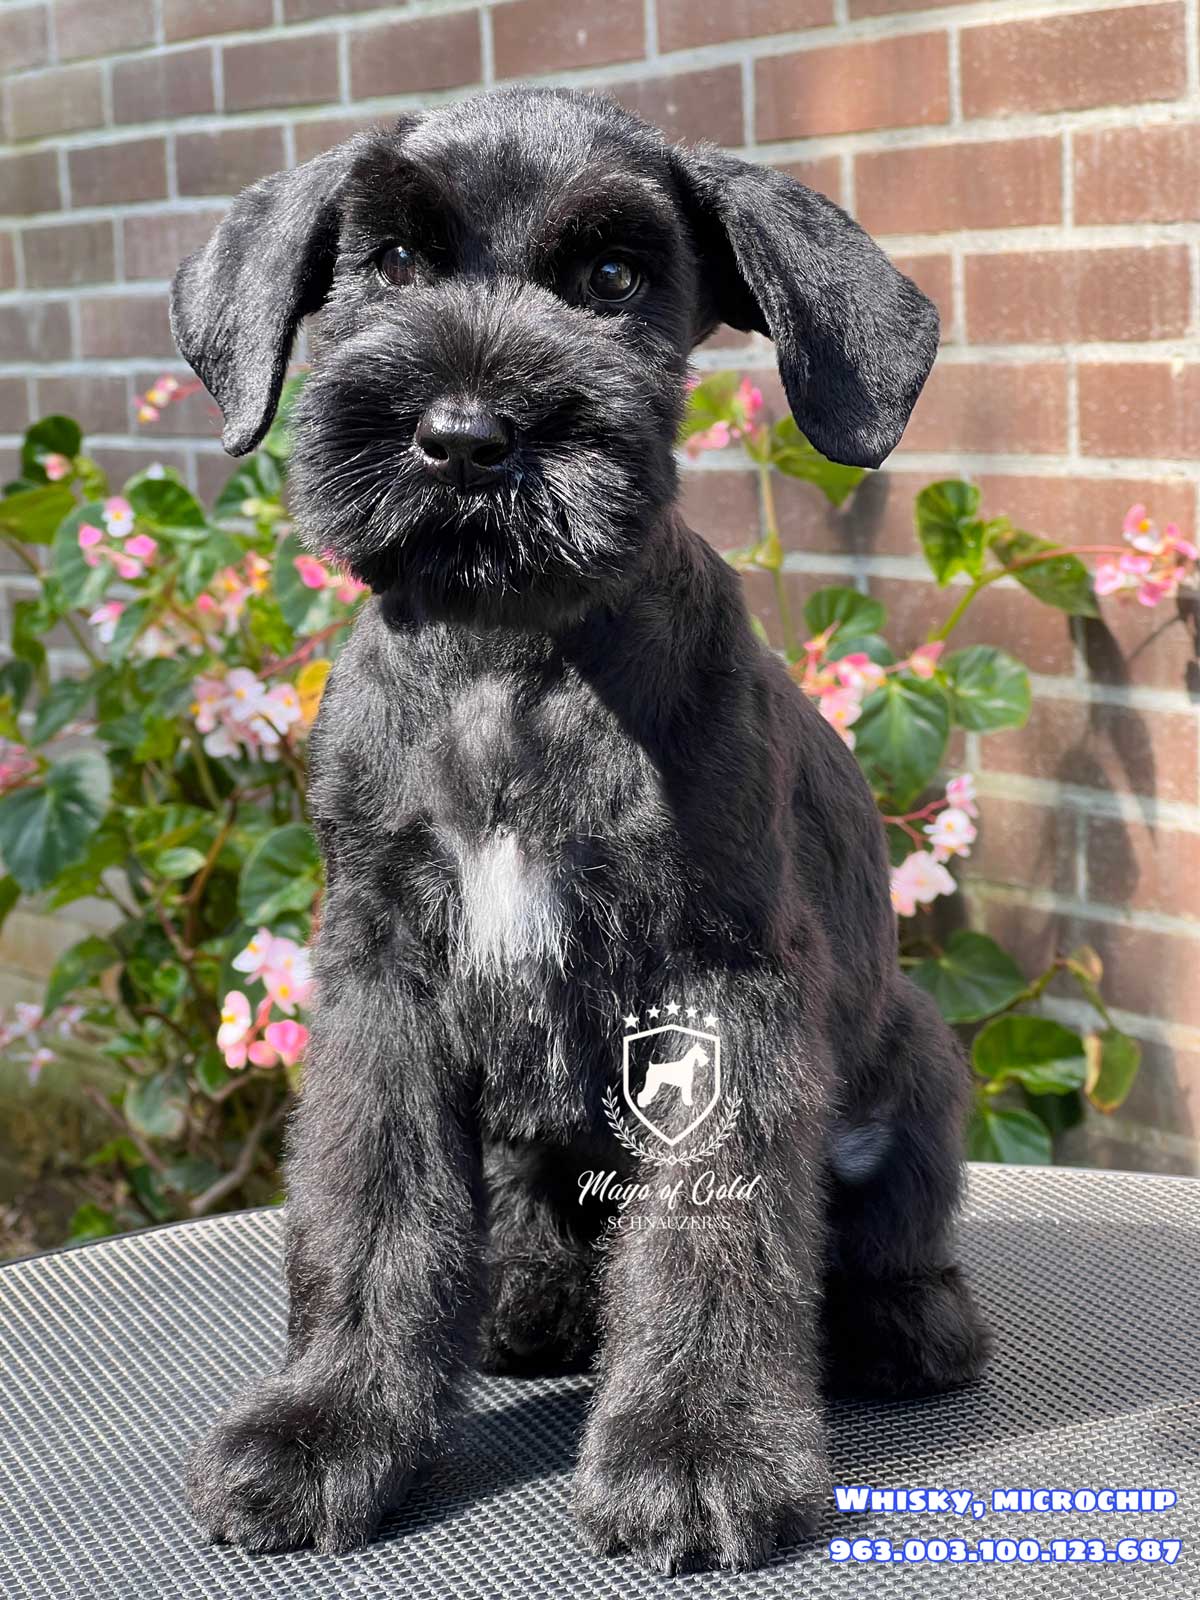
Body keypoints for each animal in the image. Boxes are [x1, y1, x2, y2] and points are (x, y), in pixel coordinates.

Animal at [173, 87, 992, 1574]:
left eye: (613, 278)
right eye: (391, 262)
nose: (463, 437)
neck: (511, 659)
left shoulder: (718, 983)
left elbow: (711, 1235)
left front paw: (696, 1452)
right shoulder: (382, 974)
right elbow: (368, 1208)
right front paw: (326, 1426)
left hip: (914, 1061)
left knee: (881, 1240)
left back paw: (903, 1324)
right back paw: (525, 1300)